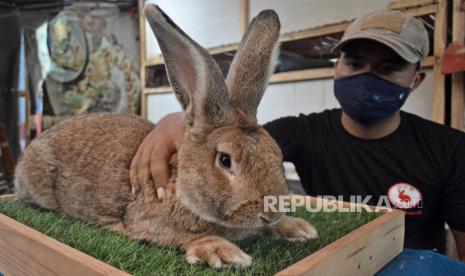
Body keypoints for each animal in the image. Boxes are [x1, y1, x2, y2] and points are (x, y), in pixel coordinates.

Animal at [13, 5, 316, 268]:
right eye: (225, 160)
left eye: (276, 153)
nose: (272, 212)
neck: (179, 183)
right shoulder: (144, 222)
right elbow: (180, 236)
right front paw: (222, 251)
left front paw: (298, 228)